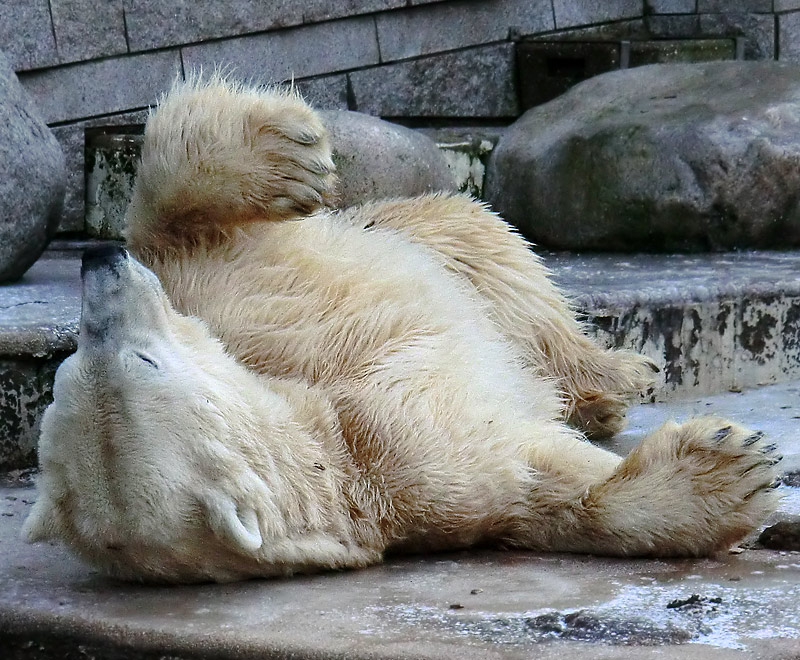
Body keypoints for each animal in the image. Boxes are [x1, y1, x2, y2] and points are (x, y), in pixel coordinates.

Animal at [23, 76, 780, 584]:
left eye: (65, 371)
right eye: (141, 362)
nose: (96, 264)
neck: (325, 432)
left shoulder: (220, 297)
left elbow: (171, 217)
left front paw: (291, 150)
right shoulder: (412, 468)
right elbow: (539, 483)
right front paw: (727, 469)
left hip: (405, 228)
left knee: (481, 252)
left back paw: (615, 376)